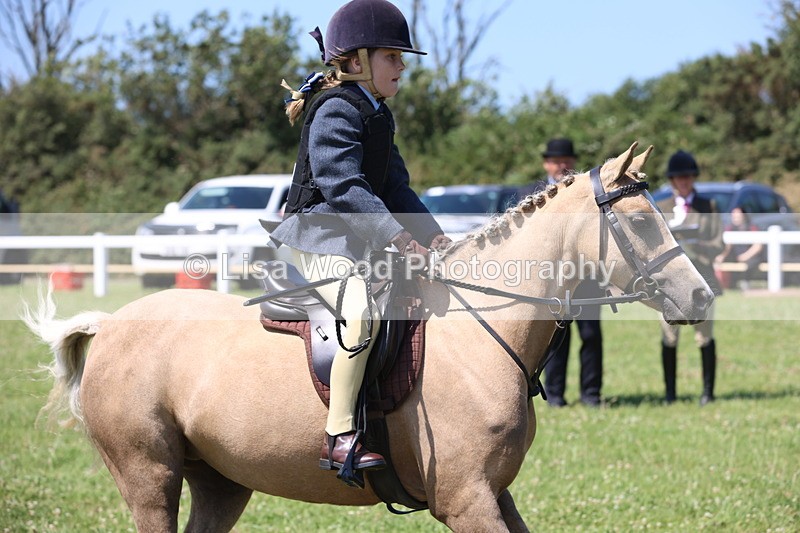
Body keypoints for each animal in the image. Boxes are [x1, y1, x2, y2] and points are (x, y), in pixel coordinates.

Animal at [24, 143, 713, 532]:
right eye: (641, 225)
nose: (703, 297)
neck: (481, 332)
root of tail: (111, 323)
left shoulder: (494, 493)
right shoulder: (467, 500)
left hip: (221, 483)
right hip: (149, 477)